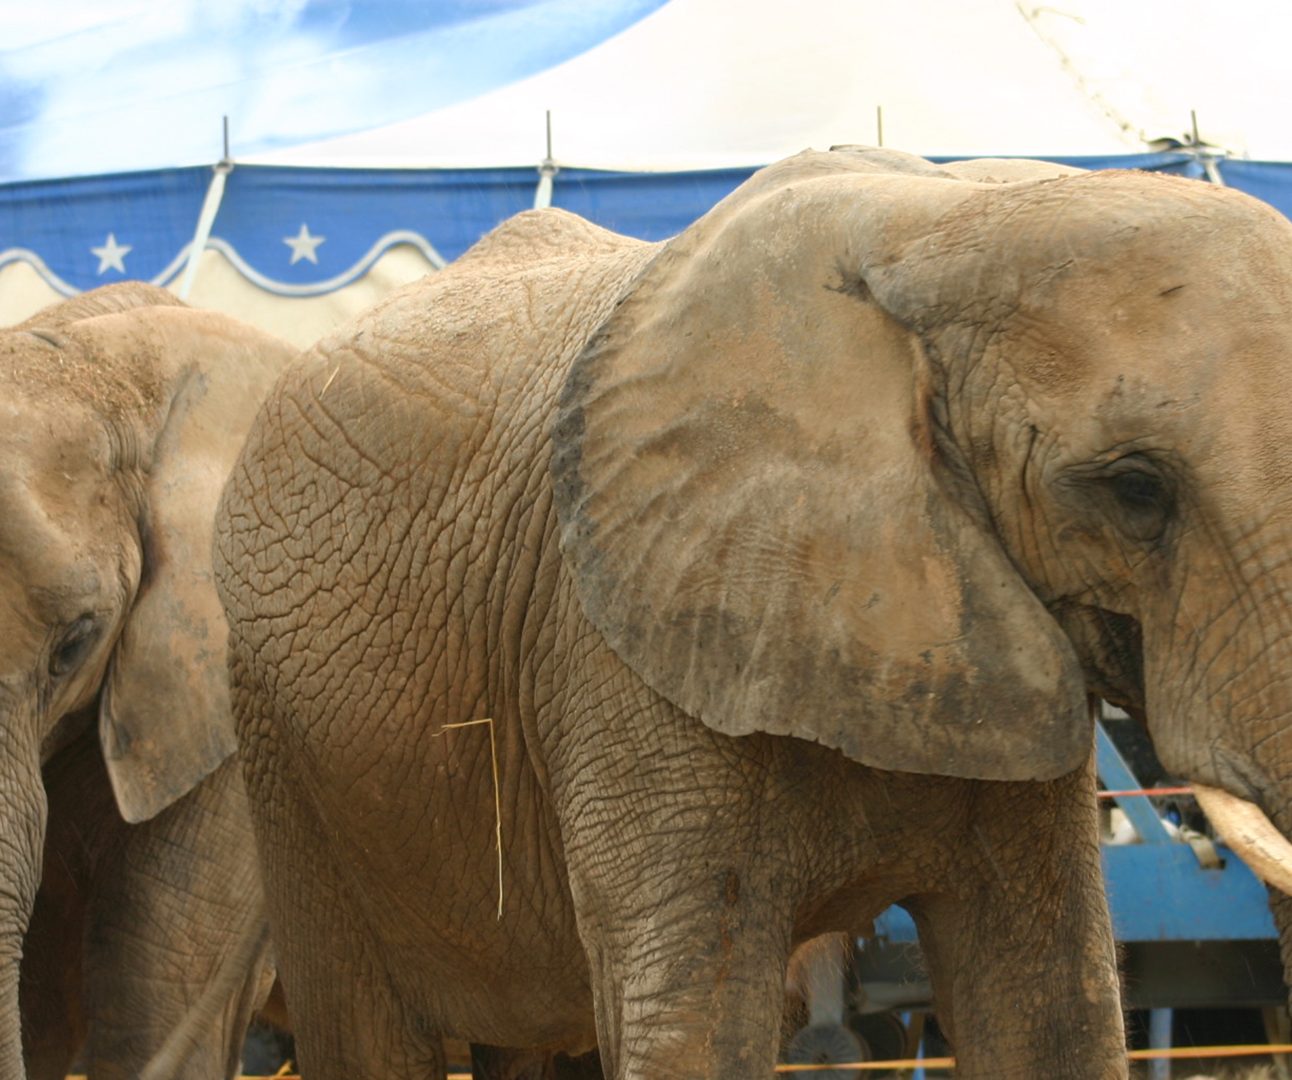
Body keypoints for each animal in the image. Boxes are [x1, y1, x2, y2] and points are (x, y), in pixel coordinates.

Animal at [214, 145, 1292, 1080]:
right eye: (1134, 489)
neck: (944, 217)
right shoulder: (622, 651)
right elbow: (696, 1025)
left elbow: (1049, 1004)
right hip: (280, 745)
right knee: (363, 1026)